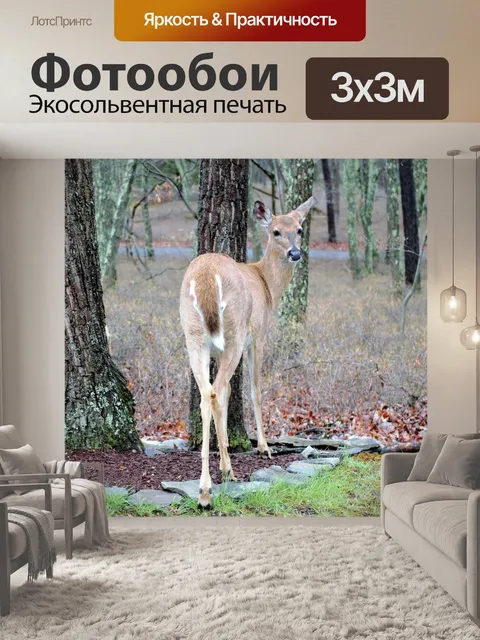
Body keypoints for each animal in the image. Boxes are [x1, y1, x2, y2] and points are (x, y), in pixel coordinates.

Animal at [179, 196, 316, 507]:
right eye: (276, 231)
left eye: (299, 229)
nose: (295, 253)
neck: (267, 284)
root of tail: (206, 278)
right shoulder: (258, 336)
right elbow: (254, 389)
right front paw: (264, 447)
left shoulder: (220, 349)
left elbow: (230, 392)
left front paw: (227, 448)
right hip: (235, 331)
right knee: (215, 391)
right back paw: (212, 485)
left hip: (194, 335)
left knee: (208, 393)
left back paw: (212, 479)